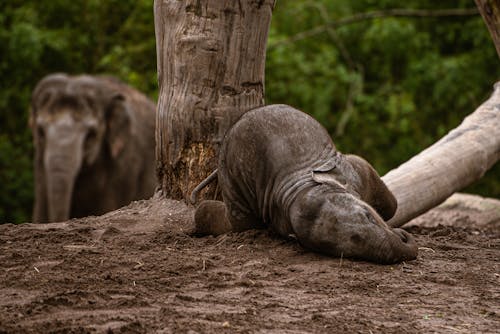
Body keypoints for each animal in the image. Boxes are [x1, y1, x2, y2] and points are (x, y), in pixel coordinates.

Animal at [191, 104, 418, 264]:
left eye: (368, 216)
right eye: (354, 242)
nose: (402, 236)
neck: (302, 187)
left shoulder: (351, 171)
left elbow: (388, 200)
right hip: (231, 180)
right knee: (241, 222)